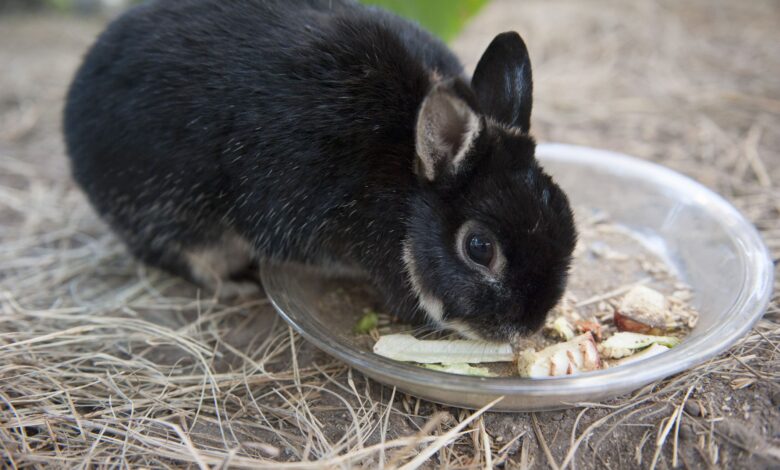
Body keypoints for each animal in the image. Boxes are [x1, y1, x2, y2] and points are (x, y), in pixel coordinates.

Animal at [64, 0, 576, 340]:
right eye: (478, 248)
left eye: (565, 214)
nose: (528, 327)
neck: (403, 185)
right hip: (170, 212)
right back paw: (232, 287)